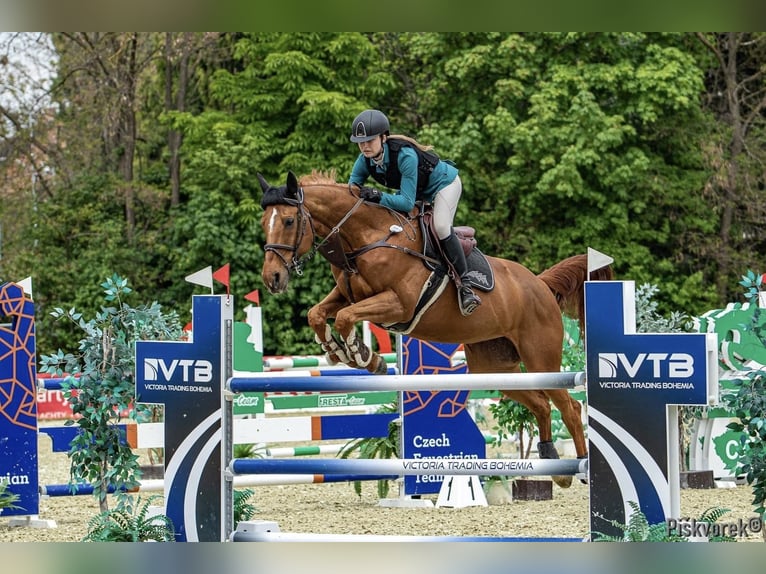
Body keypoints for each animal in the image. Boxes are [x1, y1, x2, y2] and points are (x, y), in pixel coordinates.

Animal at [260, 170, 616, 486]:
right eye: (264, 223)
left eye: (289, 221)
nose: (272, 278)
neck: (368, 238)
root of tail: (539, 284)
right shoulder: (346, 294)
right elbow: (317, 313)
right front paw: (337, 351)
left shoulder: (398, 305)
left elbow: (346, 317)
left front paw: (363, 356)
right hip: (495, 368)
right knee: (542, 404)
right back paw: (554, 466)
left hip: (541, 359)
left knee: (569, 407)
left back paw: (581, 469)